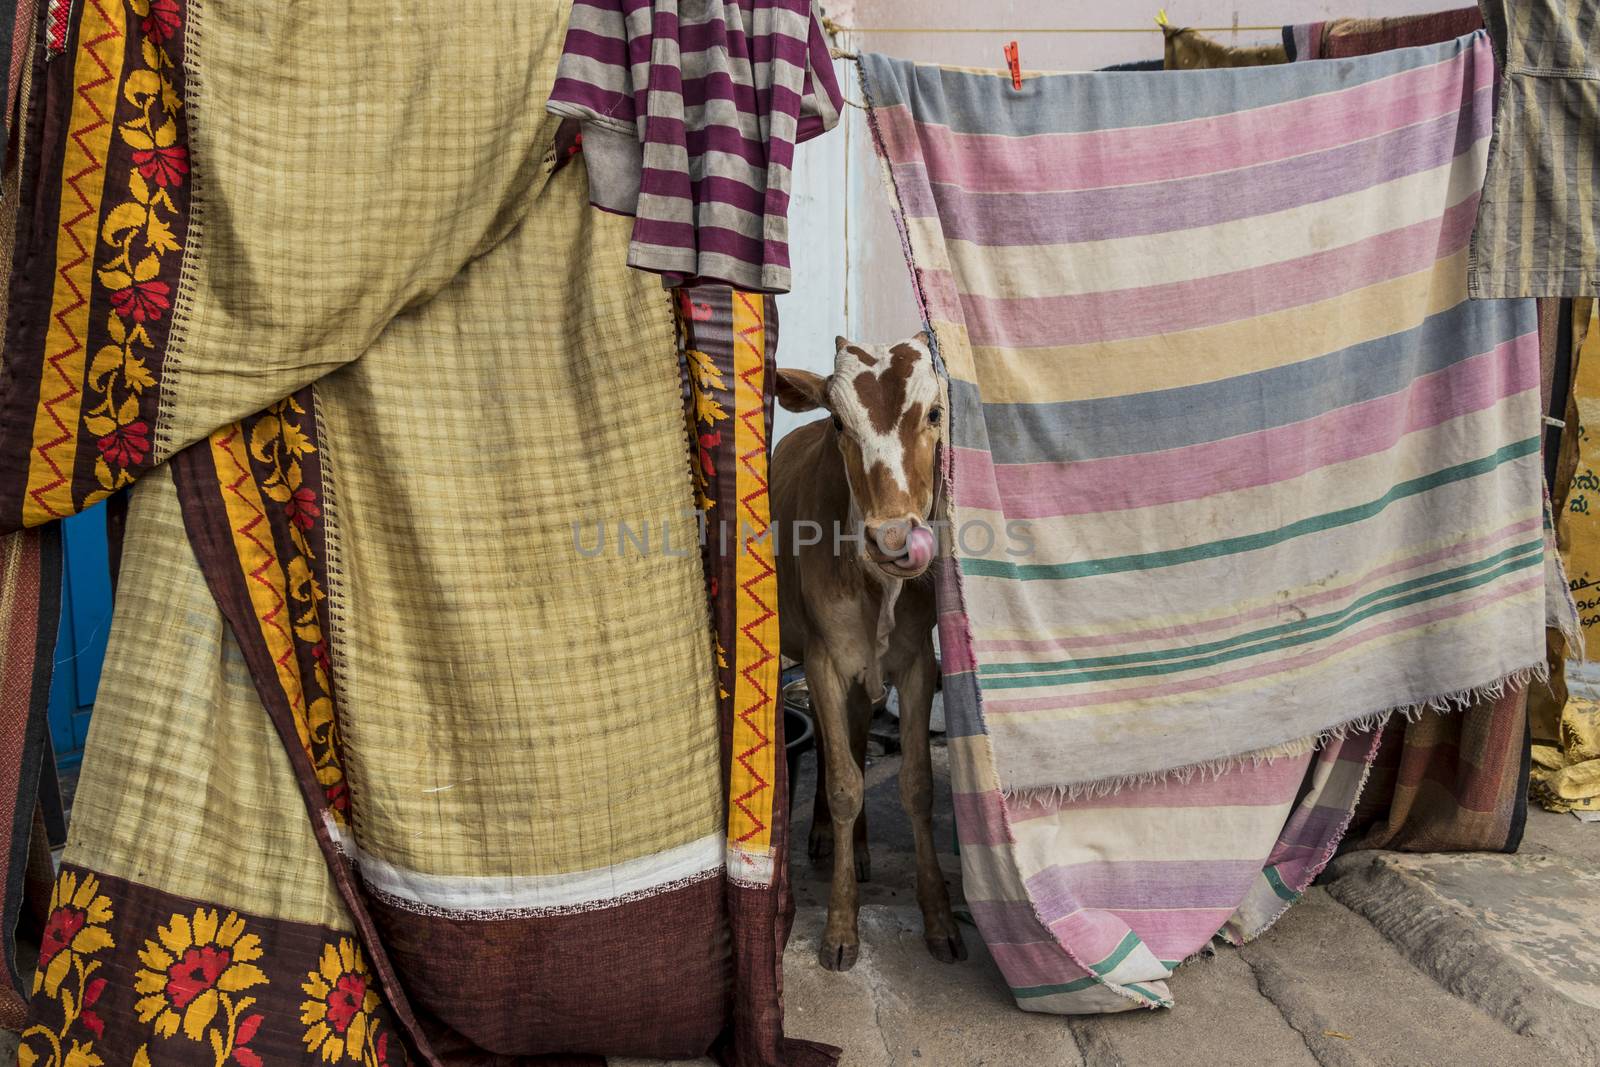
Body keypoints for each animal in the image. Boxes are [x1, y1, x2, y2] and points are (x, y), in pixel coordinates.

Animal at [771, 334, 966, 979]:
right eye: (838, 422)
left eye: (934, 413)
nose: (893, 538)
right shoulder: (825, 661)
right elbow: (842, 786)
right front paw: (839, 926)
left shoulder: (919, 662)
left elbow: (917, 785)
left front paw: (940, 919)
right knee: (840, 751)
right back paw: (826, 838)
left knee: (857, 738)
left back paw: (855, 849)